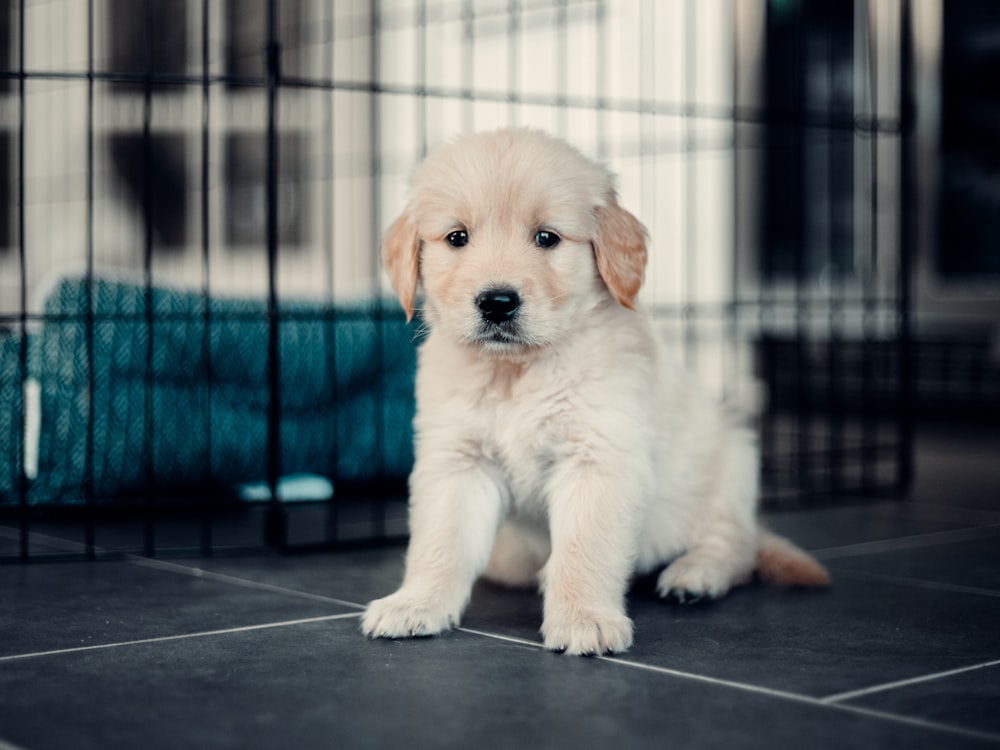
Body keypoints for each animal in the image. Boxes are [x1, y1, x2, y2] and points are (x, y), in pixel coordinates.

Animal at [362, 131, 828, 656]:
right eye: (457, 237)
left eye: (547, 237)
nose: (497, 303)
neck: (518, 372)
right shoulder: (458, 460)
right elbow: (440, 542)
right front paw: (415, 603)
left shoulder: (598, 456)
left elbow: (586, 547)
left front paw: (584, 618)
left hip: (733, 459)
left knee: (735, 543)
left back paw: (695, 575)